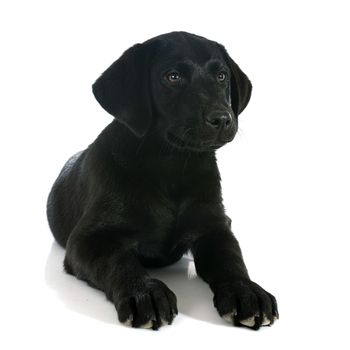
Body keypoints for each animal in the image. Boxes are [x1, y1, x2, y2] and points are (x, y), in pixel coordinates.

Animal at [46, 31, 278, 330]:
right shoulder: (88, 239)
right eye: (172, 76)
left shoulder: (213, 226)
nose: (222, 118)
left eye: (222, 76)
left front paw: (246, 291)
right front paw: (144, 292)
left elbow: (231, 258)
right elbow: (119, 260)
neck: (172, 167)